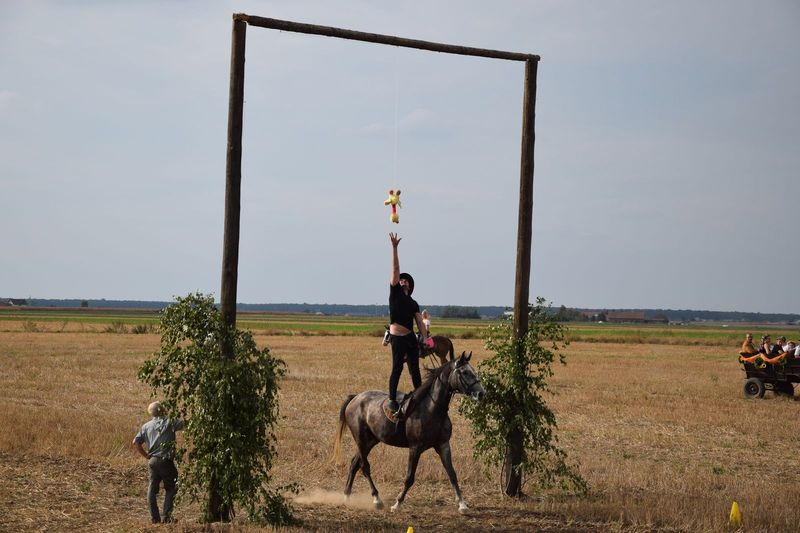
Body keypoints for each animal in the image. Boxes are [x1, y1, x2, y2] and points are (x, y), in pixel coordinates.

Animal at [330, 350, 482, 512]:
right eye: (465, 372)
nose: (481, 393)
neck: (432, 409)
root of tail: (355, 398)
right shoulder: (415, 448)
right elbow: (409, 478)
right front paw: (397, 504)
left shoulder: (443, 445)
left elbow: (452, 474)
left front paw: (462, 504)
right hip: (361, 439)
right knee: (365, 467)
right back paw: (376, 499)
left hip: (370, 441)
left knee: (354, 463)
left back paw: (346, 496)